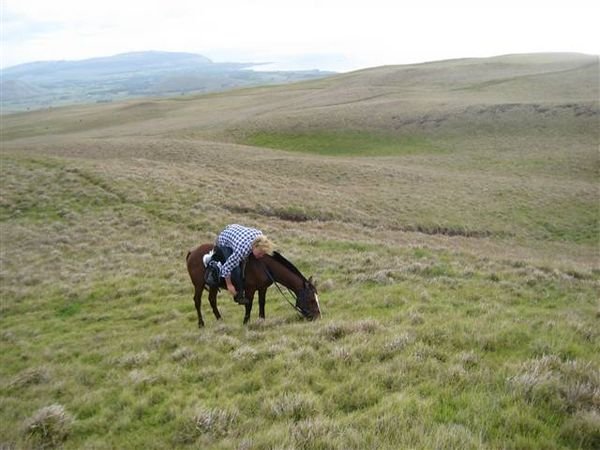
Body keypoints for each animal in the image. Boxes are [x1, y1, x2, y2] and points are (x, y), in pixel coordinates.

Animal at [185, 243, 322, 326]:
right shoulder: (250, 289)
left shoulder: (262, 288)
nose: (318, 317)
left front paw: (262, 320)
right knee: (197, 301)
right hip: (199, 285)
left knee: (212, 300)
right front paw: (246, 322)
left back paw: (220, 320)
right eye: (311, 300)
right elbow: (249, 305)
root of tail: (192, 252)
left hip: (213, 285)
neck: (264, 265)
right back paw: (201, 323)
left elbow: (262, 303)